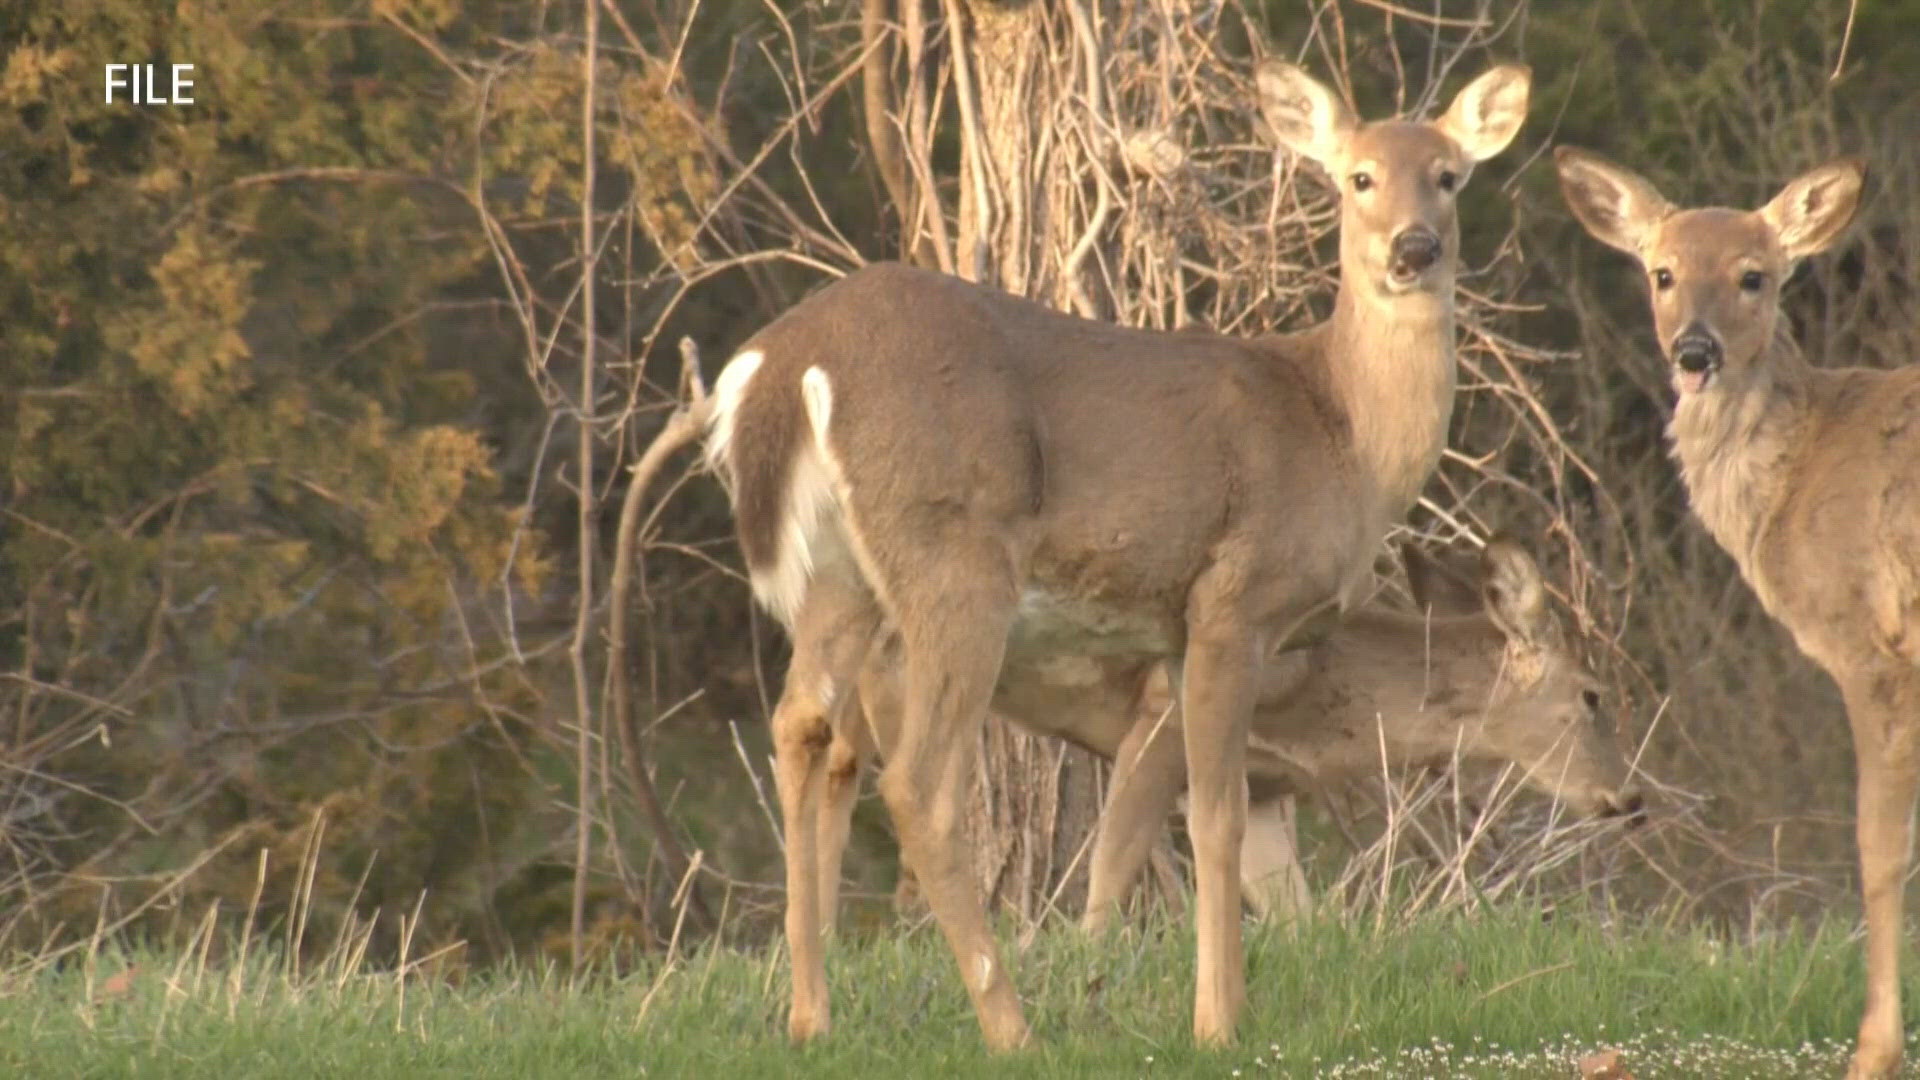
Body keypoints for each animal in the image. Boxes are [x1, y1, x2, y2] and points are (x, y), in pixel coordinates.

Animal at [702, 58, 1531, 1049]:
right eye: (1358, 176)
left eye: (1448, 175)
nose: (1414, 248)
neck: (1341, 432)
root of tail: (788, 359)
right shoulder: (1233, 599)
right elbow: (1213, 818)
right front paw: (1218, 1022)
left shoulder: (1172, 634)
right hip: (955, 553)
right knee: (921, 784)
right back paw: (1011, 1028)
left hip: (841, 574)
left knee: (800, 726)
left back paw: (810, 1020)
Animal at [815, 537, 1643, 932]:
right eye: (1592, 693)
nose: (1628, 798)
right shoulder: (1162, 714)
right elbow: (1110, 871)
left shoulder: (1265, 785)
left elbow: (1298, 916)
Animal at [1553, 148, 1899, 1078]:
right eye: (1662, 272)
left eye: (1755, 276)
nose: (1695, 351)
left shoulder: (1872, 646)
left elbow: (1877, 846)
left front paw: (1873, 1052)